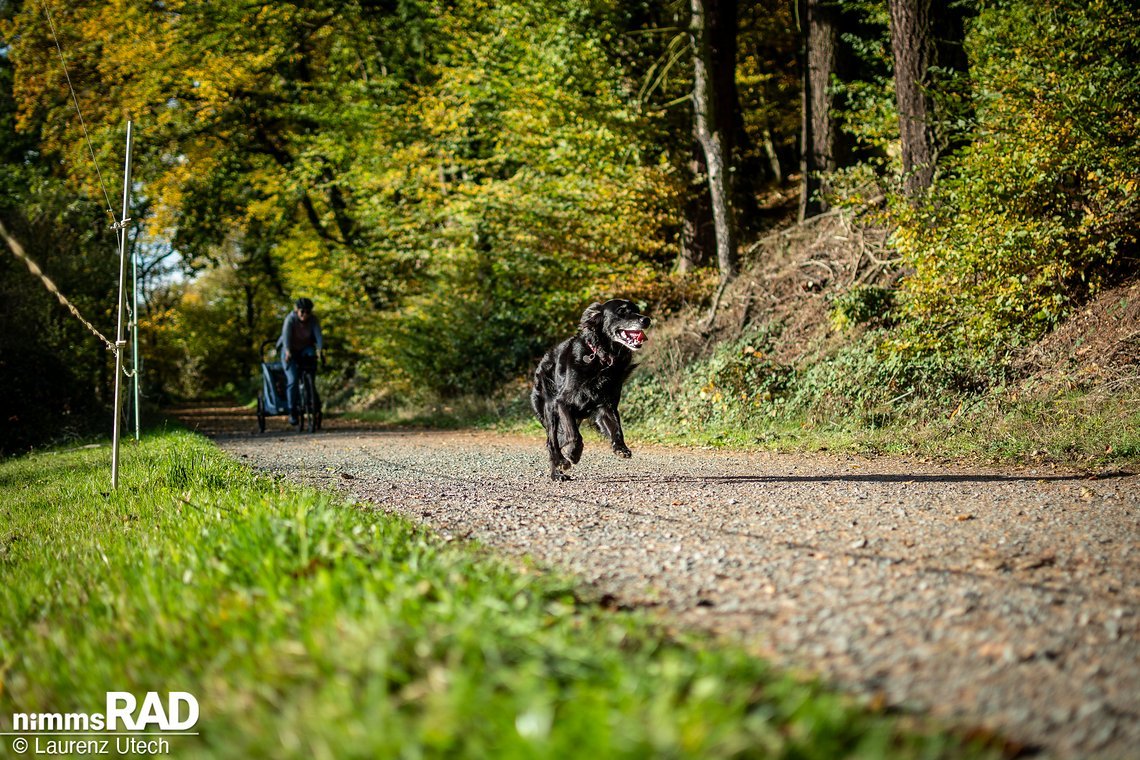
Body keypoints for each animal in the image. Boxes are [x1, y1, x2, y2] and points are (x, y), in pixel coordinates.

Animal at [526, 298, 647, 480]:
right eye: (621, 312)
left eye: (637, 310)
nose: (646, 320)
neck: (601, 359)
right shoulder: (563, 403)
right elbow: (575, 435)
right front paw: (574, 453)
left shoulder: (606, 405)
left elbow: (616, 429)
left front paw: (620, 448)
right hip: (550, 409)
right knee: (552, 441)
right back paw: (558, 468)